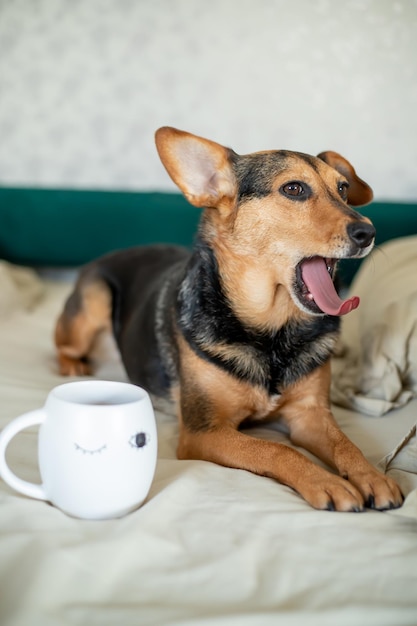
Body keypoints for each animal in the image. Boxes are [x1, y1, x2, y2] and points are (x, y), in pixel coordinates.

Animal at [55, 124, 404, 510]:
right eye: (294, 189)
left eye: (342, 188)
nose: (368, 232)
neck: (272, 332)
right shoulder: (203, 432)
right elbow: (278, 450)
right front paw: (326, 482)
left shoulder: (310, 414)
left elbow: (346, 445)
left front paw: (372, 476)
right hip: (94, 300)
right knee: (64, 346)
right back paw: (73, 366)